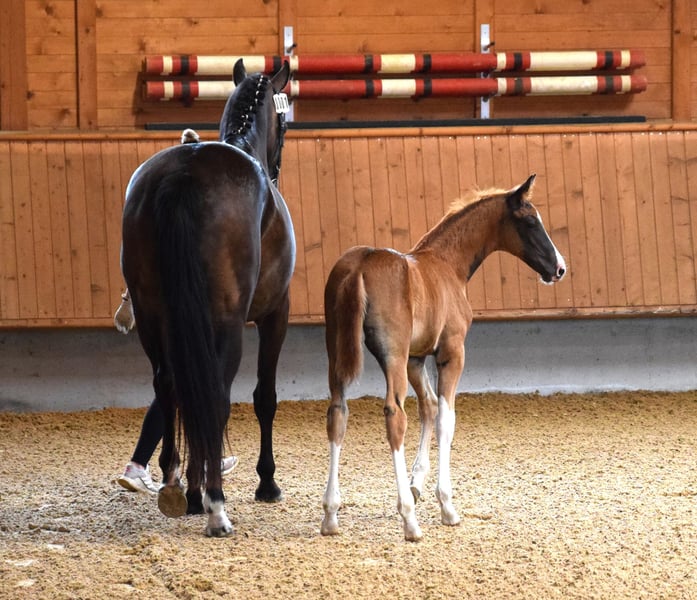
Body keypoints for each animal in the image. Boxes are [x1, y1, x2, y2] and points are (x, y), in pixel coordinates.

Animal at [120, 59, 294, 537]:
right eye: (285, 121)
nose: (278, 165)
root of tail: (184, 173)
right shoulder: (276, 313)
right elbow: (264, 397)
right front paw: (266, 483)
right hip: (226, 321)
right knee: (213, 394)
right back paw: (214, 503)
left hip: (152, 318)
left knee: (169, 385)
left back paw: (177, 485)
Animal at [320, 175, 566, 541]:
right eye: (531, 221)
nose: (559, 268)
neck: (447, 264)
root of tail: (359, 267)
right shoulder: (451, 352)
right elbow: (446, 420)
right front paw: (446, 505)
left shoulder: (416, 358)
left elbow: (430, 407)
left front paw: (417, 483)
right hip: (391, 356)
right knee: (394, 416)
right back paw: (409, 521)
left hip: (338, 352)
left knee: (338, 413)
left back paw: (330, 514)